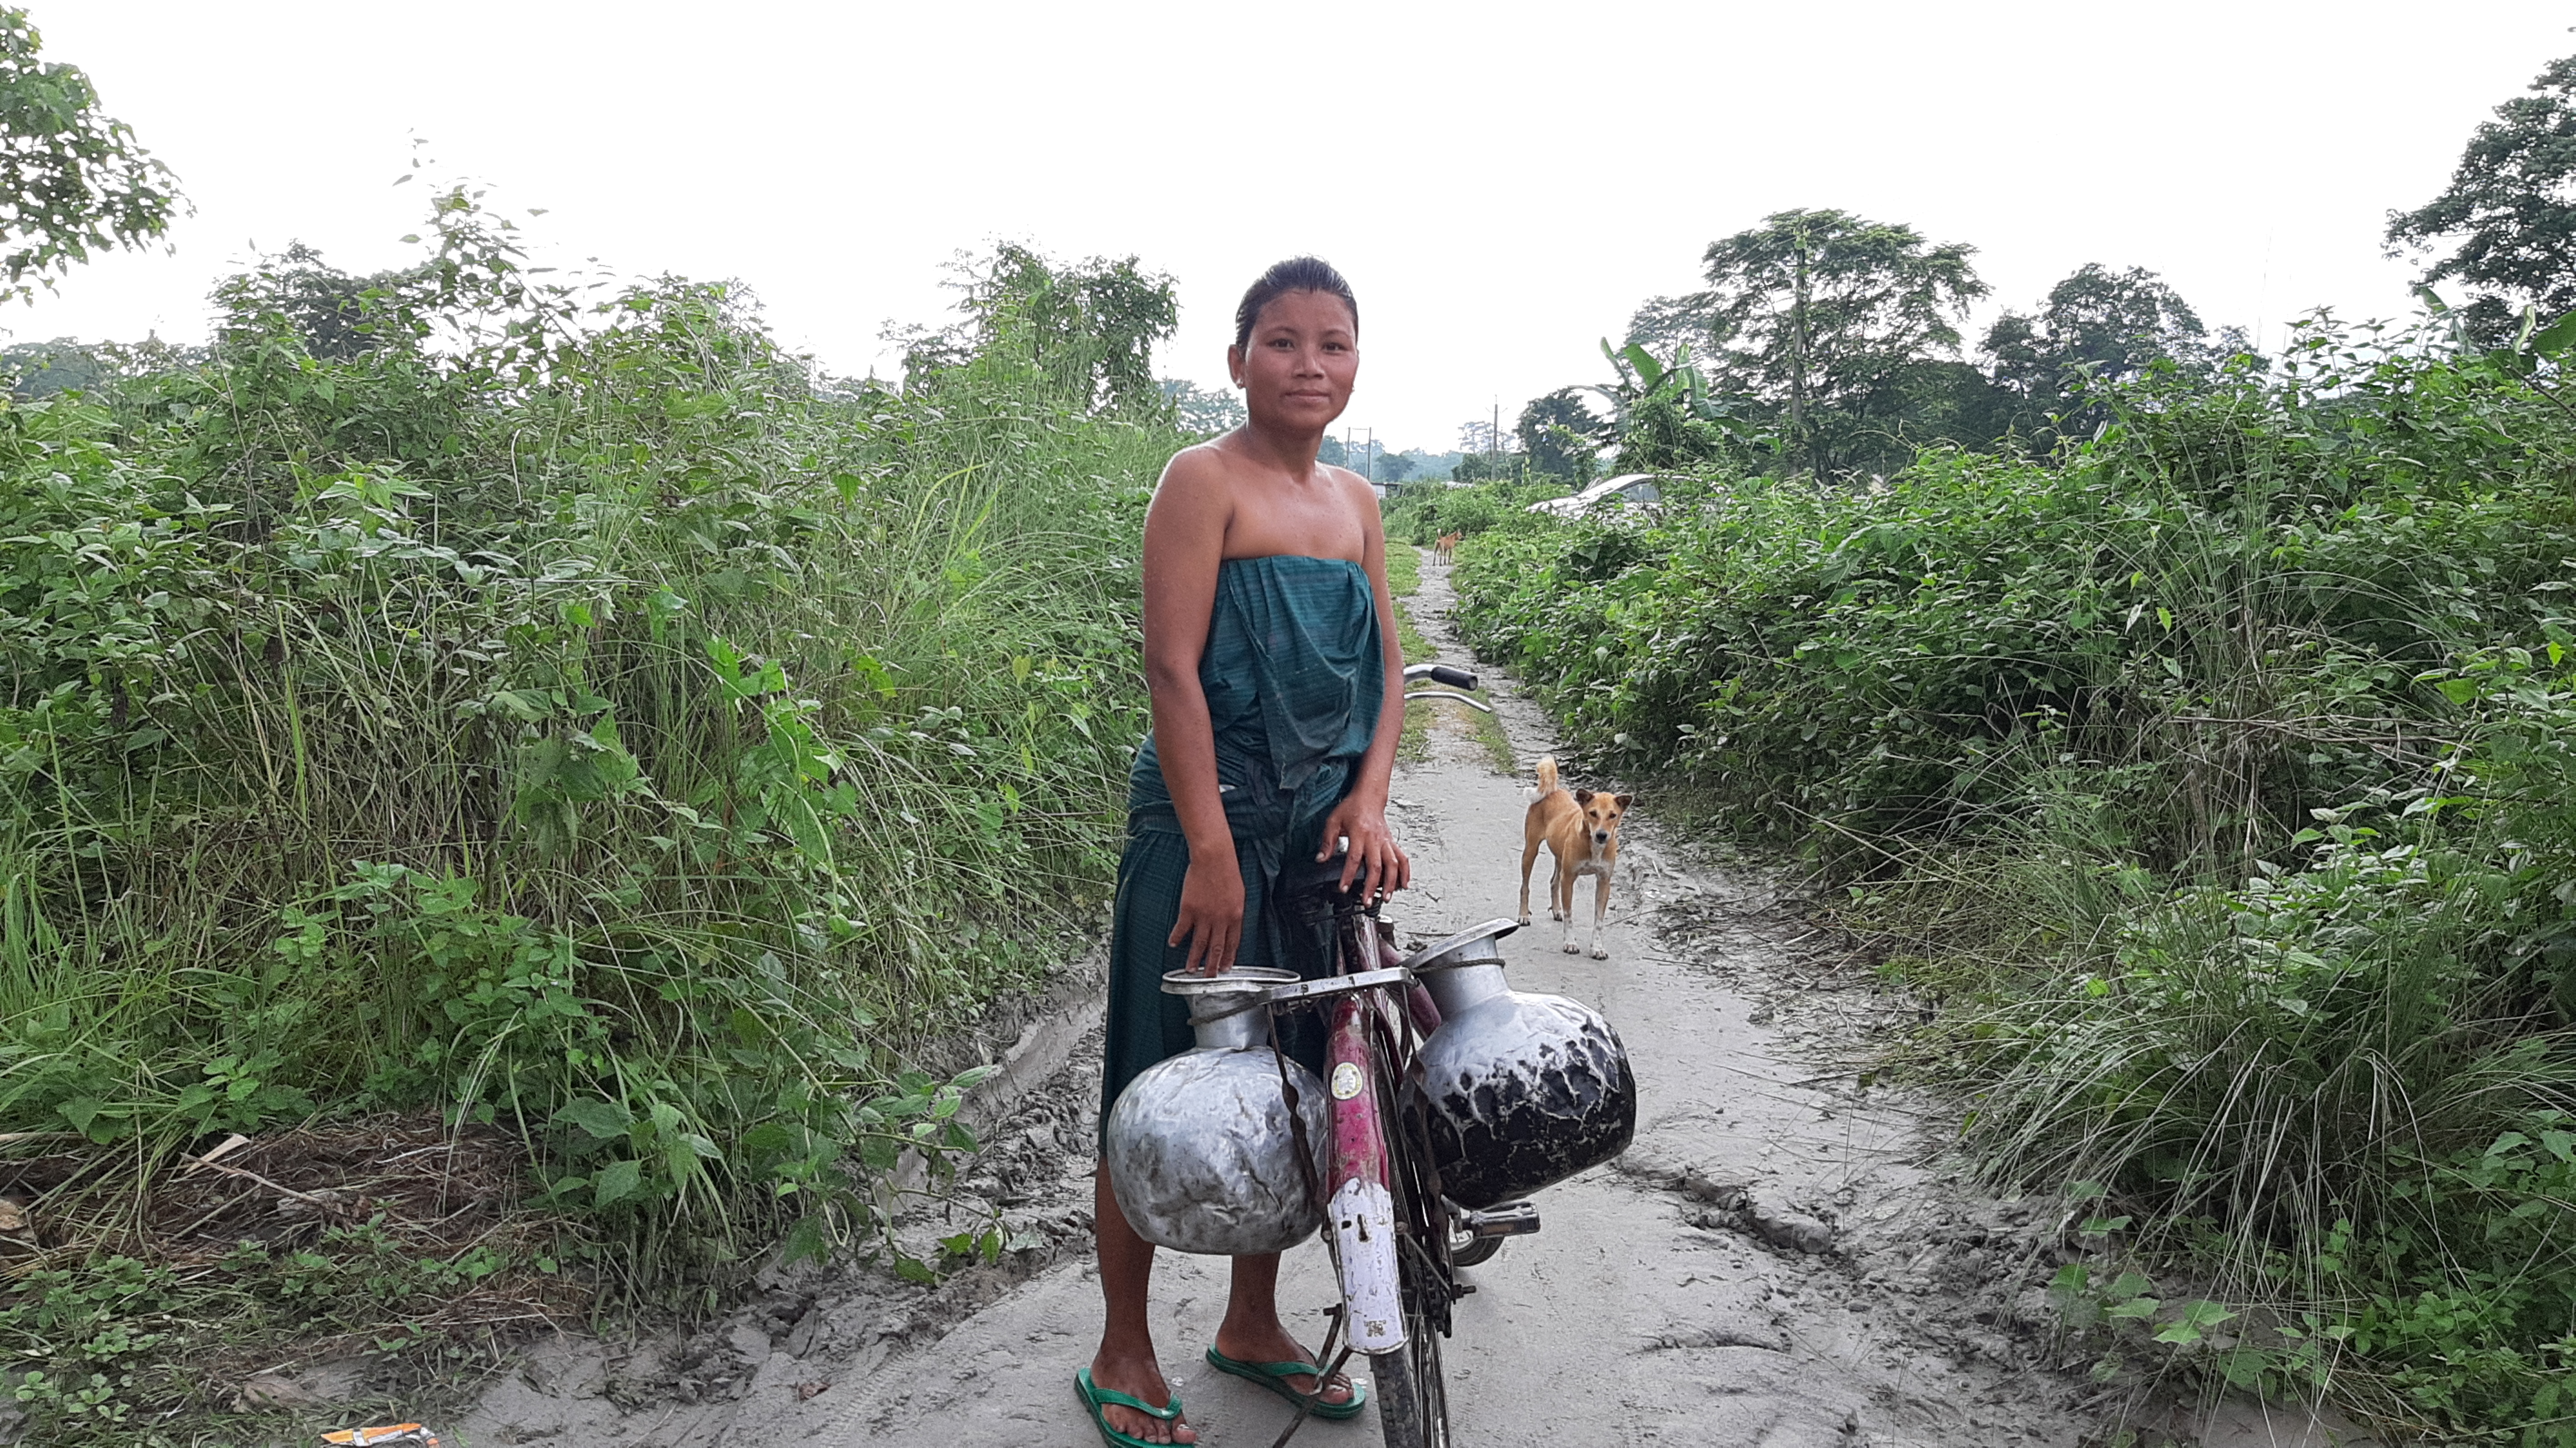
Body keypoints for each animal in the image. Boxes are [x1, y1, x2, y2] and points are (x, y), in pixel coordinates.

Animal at [1514, 757, 1638, 958]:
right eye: (1593, 813)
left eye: (1613, 815)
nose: (1602, 835)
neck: (1593, 846)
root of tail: (1553, 791)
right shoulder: (1569, 879)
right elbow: (1570, 915)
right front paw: (1570, 943)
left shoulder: (1604, 882)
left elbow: (1599, 921)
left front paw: (1597, 948)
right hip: (1530, 851)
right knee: (1525, 886)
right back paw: (1524, 915)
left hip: (1559, 858)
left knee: (1553, 882)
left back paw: (1556, 911)